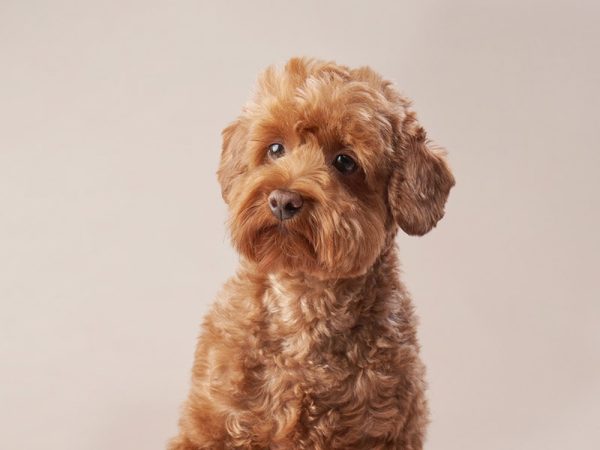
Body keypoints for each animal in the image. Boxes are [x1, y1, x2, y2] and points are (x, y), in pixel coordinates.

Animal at [169, 58, 454, 448]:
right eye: (275, 149)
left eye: (345, 161)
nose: (283, 200)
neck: (303, 300)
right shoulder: (210, 424)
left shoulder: (387, 430)